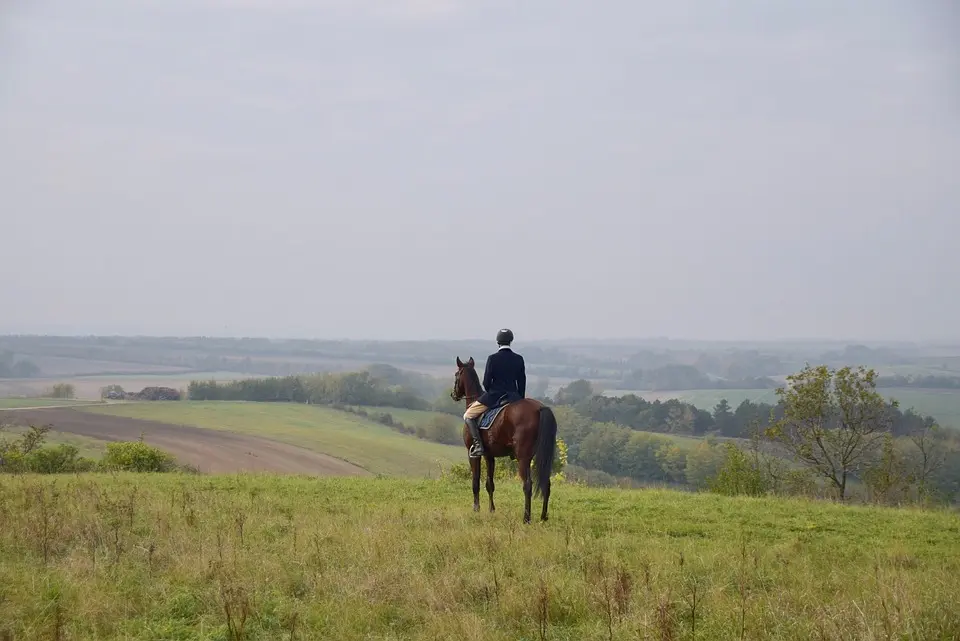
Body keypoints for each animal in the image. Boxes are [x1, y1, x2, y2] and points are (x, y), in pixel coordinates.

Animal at [452, 358, 560, 524]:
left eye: (456, 375)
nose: (453, 394)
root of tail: (540, 408)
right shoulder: (489, 455)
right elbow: (490, 484)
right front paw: (491, 510)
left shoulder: (473, 454)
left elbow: (475, 482)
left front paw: (476, 509)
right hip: (540, 457)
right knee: (546, 484)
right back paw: (543, 517)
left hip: (523, 458)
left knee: (528, 485)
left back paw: (526, 518)